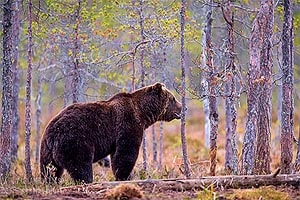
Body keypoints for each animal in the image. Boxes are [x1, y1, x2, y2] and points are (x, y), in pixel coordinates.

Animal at [39, 82, 180, 184]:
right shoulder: (128, 124)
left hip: (46, 149)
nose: (182, 107)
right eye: (173, 98)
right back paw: (87, 181)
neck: (142, 113)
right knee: (80, 164)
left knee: (49, 169)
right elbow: (125, 153)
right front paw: (124, 176)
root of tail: (53, 132)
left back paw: (50, 182)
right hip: (75, 140)